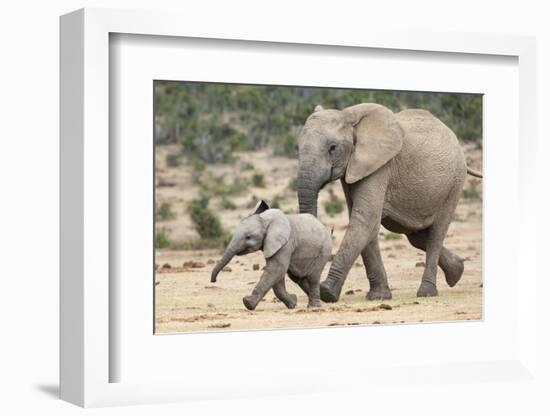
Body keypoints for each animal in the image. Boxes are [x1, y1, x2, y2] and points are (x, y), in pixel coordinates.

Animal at [298, 102, 484, 300]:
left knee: (436, 233)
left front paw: (327, 293)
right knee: (416, 236)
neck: (348, 115)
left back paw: (426, 293)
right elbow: (366, 222)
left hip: (454, 183)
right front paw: (379, 296)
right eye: (297, 147)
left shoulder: (380, 165)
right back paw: (457, 271)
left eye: (333, 147)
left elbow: (365, 218)